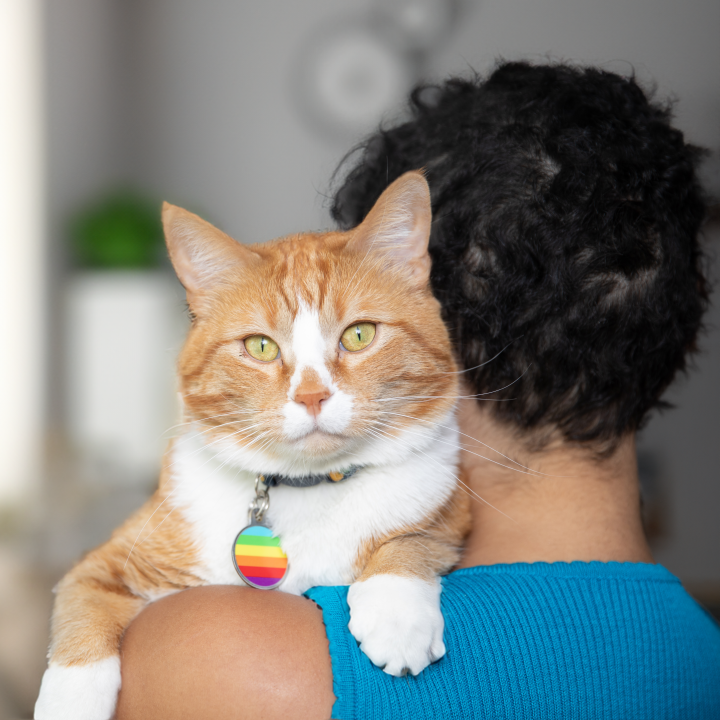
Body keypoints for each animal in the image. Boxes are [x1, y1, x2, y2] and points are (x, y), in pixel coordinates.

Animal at [35, 172, 472, 716]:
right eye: (260, 346)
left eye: (359, 335)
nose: (311, 396)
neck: (308, 489)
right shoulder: (108, 558)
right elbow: (82, 605)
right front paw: (70, 697)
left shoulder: (452, 508)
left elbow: (413, 538)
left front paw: (397, 614)